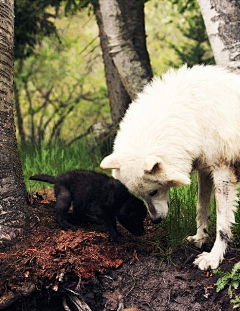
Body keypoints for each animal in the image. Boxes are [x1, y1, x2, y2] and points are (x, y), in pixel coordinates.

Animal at [100, 65, 240, 270]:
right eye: (141, 195)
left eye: (153, 192)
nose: (155, 220)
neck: (192, 115)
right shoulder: (205, 171)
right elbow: (201, 208)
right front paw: (200, 238)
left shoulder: (222, 172)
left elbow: (222, 223)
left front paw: (213, 258)